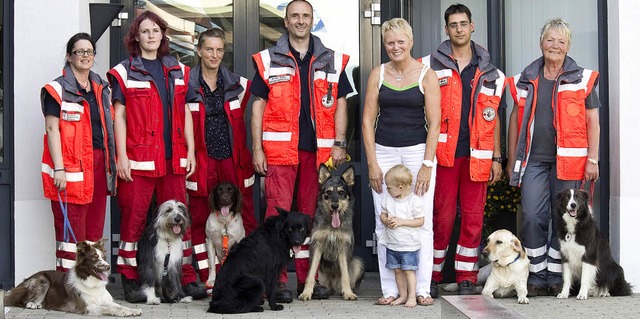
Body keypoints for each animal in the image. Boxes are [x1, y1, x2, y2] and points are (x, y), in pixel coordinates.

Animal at [3, 240, 141, 318]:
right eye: (94, 257)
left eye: (103, 257)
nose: (108, 266)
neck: (92, 283)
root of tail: (24, 280)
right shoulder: (86, 306)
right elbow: (107, 309)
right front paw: (123, 313)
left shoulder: (105, 300)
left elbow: (119, 306)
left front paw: (133, 310)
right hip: (43, 280)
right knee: (18, 300)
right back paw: (31, 304)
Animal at [298, 166, 362, 302]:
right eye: (328, 192)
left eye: (341, 192)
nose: (335, 206)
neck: (332, 227)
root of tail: (332, 286)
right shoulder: (316, 247)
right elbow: (310, 274)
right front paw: (306, 293)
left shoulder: (343, 249)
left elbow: (345, 275)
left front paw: (348, 293)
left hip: (357, 263)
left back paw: (345, 291)